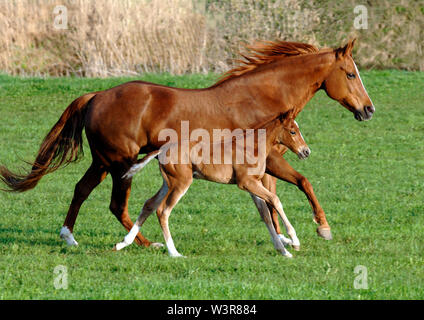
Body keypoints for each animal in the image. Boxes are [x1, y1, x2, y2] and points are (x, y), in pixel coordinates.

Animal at [114, 112, 310, 258]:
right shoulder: (246, 183)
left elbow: (265, 215)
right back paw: (174, 253)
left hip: (167, 183)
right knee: (163, 210)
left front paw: (283, 251)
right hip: (181, 183)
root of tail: (162, 149)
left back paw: (123, 243)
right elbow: (275, 200)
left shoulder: (253, 186)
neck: (252, 147)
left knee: (149, 204)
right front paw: (294, 241)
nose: (306, 151)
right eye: (293, 131)